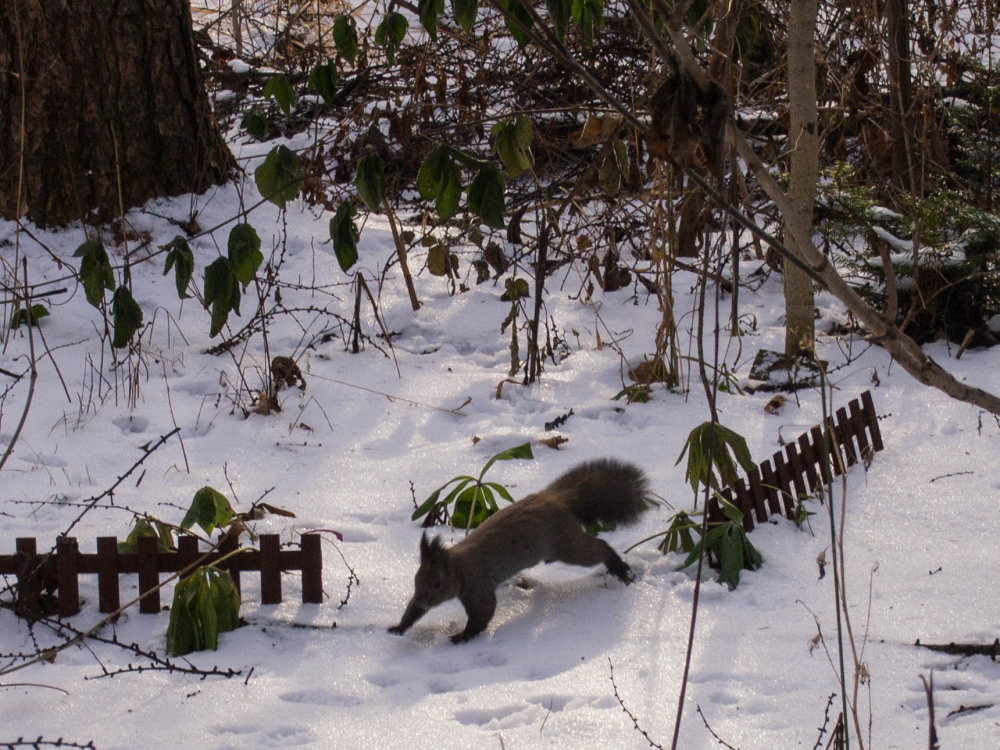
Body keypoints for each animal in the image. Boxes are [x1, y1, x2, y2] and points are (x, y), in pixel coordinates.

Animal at [386, 458, 652, 648]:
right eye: (416, 580)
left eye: (438, 583)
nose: (422, 601)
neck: (459, 566)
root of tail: (555, 499)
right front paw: (399, 627)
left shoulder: (477, 585)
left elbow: (484, 613)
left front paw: (462, 635)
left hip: (567, 545)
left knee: (598, 548)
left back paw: (620, 569)